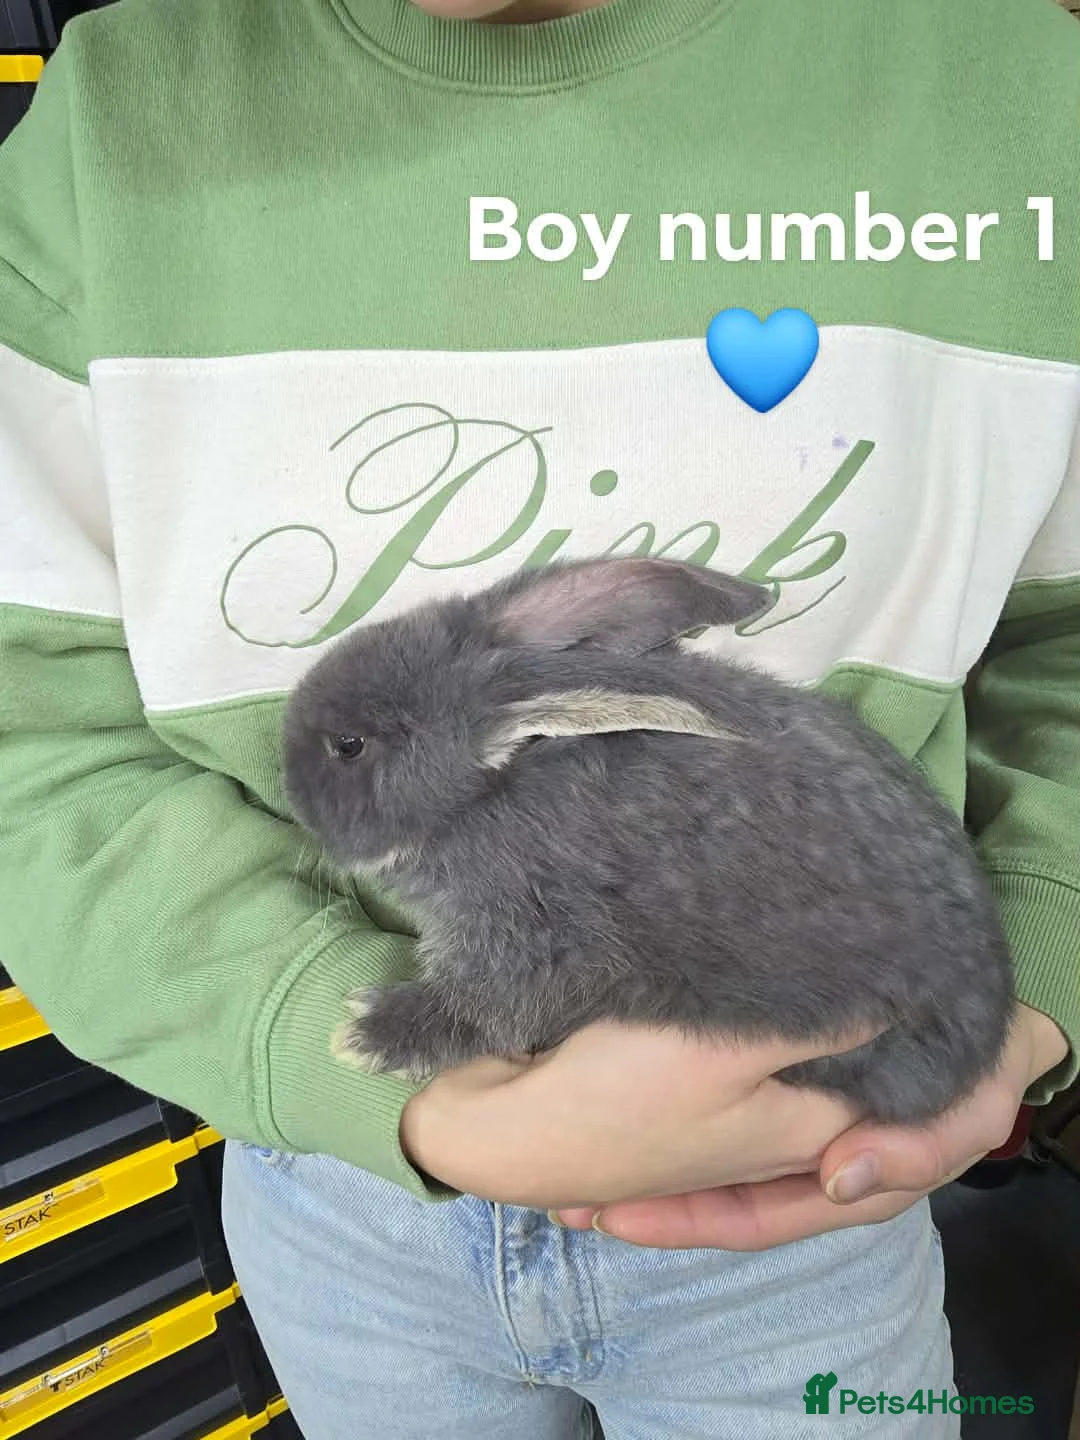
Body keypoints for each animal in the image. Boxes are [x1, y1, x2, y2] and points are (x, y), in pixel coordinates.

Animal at [281, 555, 1015, 1125]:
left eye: (349, 745)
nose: (286, 783)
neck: (484, 791)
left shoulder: (539, 932)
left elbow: (494, 1005)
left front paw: (365, 1033)